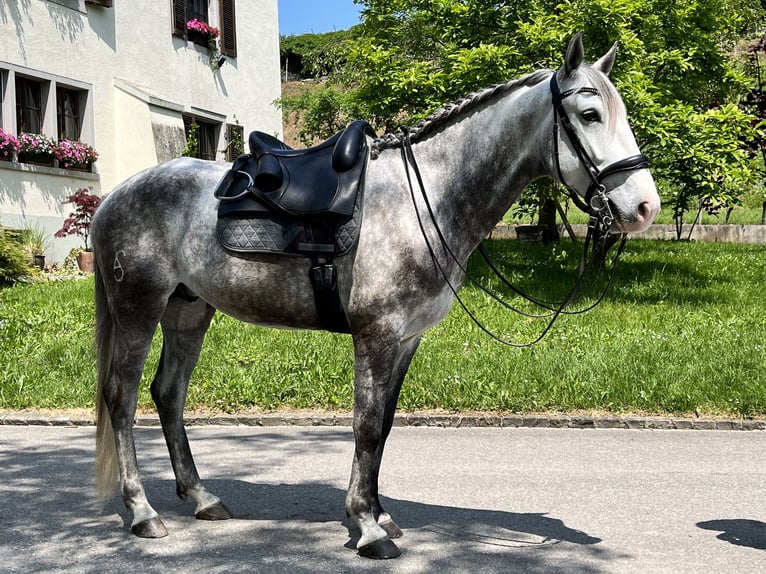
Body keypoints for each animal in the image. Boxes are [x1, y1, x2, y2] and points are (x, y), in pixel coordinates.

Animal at [93, 33, 660, 560]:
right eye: (589, 114)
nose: (644, 207)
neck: (423, 198)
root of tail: (115, 197)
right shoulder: (377, 335)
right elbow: (365, 427)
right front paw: (367, 527)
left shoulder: (406, 340)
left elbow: (384, 427)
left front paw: (379, 513)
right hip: (139, 308)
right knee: (122, 399)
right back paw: (142, 512)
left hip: (188, 310)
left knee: (169, 395)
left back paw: (201, 497)